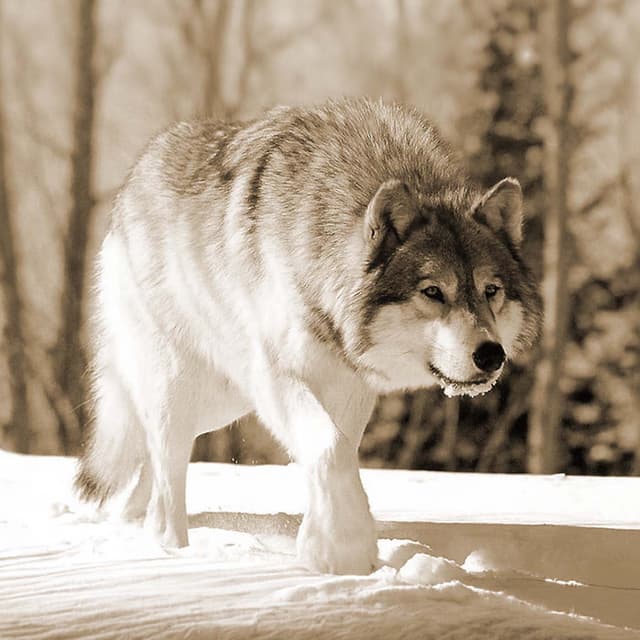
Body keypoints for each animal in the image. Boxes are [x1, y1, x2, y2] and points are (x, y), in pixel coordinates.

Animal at [75, 98, 542, 575]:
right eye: (433, 292)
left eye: (490, 291)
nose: (492, 356)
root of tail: (135, 175)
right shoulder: (277, 374)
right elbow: (329, 448)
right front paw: (341, 549)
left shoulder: (350, 385)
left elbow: (339, 451)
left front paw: (325, 541)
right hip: (186, 388)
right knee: (165, 467)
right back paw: (170, 548)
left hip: (221, 403)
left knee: (152, 461)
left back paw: (135, 525)